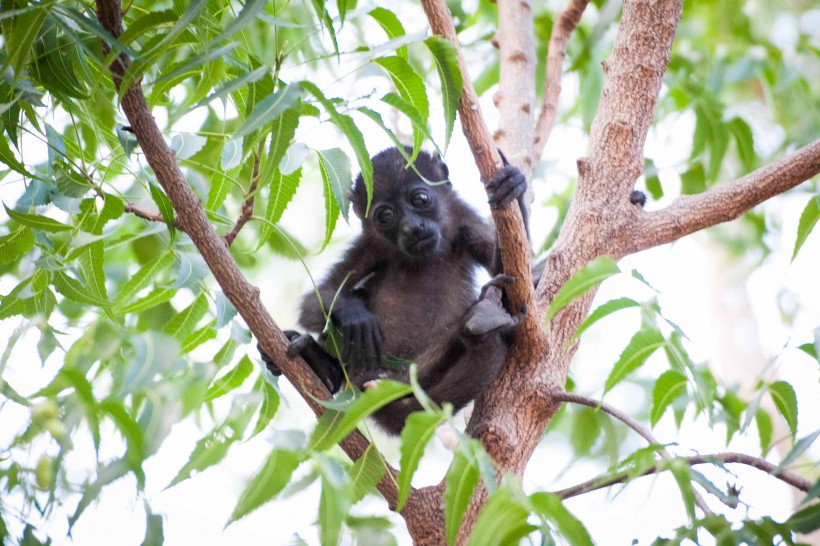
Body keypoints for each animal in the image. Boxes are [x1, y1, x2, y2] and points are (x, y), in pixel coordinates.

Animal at [264, 146, 532, 434]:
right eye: (385, 216)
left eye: (420, 199)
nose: (412, 228)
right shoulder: (371, 244)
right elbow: (315, 300)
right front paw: (356, 317)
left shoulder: (463, 219)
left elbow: (511, 272)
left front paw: (513, 186)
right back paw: (320, 364)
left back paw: (483, 318)